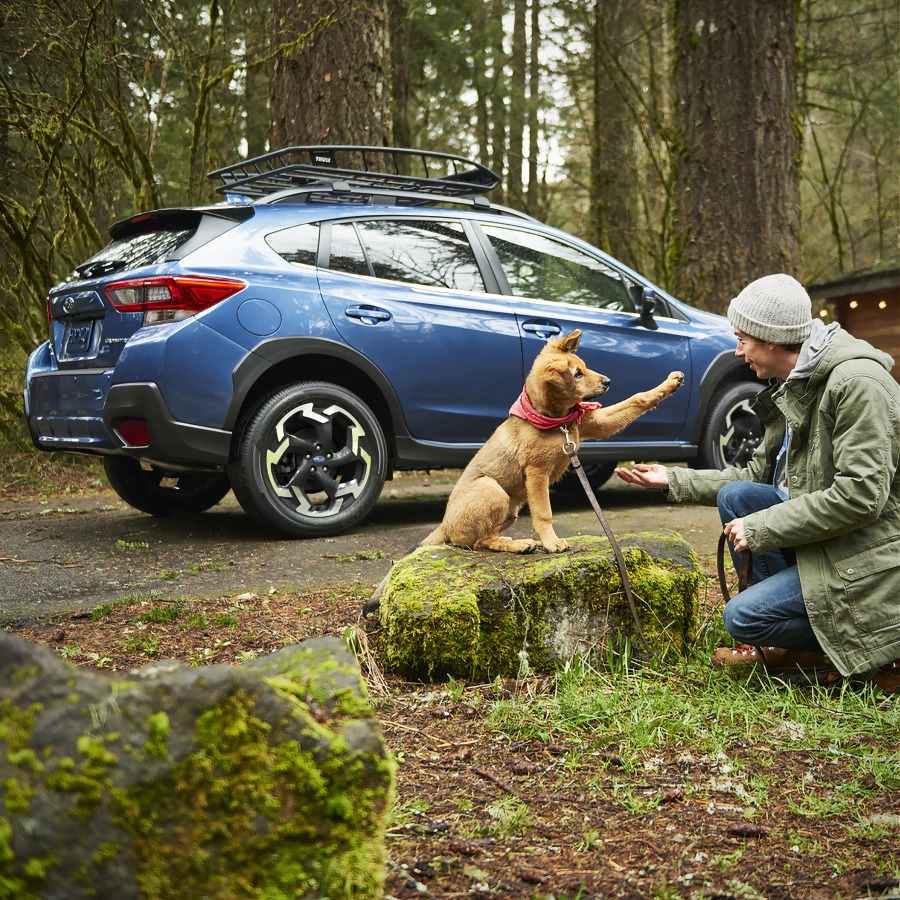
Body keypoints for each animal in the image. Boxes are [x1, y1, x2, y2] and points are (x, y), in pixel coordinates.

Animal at [422, 330, 684, 552]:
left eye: (584, 367)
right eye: (577, 374)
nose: (608, 381)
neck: (558, 421)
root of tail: (444, 526)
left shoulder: (597, 423)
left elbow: (637, 399)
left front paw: (671, 382)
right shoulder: (537, 472)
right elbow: (543, 513)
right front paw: (552, 542)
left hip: (510, 509)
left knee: (484, 538)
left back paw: (514, 542)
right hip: (491, 488)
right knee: (478, 541)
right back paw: (519, 544)